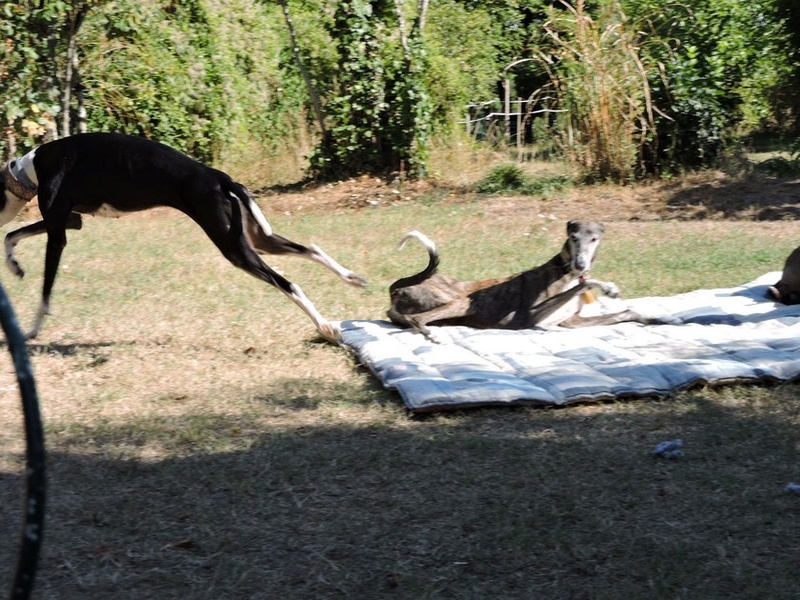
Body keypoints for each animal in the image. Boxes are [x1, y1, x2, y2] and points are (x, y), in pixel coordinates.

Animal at [0, 132, 368, 342]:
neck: (33, 166)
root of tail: (219, 178)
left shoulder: (58, 233)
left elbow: (45, 290)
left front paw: (31, 331)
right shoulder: (71, 222)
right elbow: (11, 236)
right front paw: (15, 266)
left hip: (233, 247)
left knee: (288, 283)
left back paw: (325, 326)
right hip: (252, 237)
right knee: (310, 248)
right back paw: (350, 278)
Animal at [388, 221, 668, 342]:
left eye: (594, 239)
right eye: (574, 238)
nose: (580, 265)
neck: (564, 270)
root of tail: (396, 288)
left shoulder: (571, 322)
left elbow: (626, 312)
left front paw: (658, 319)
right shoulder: (530, 316)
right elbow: (585, 284)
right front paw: (608, 287)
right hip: (463, 301)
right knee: (417, 319)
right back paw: (430, 334)